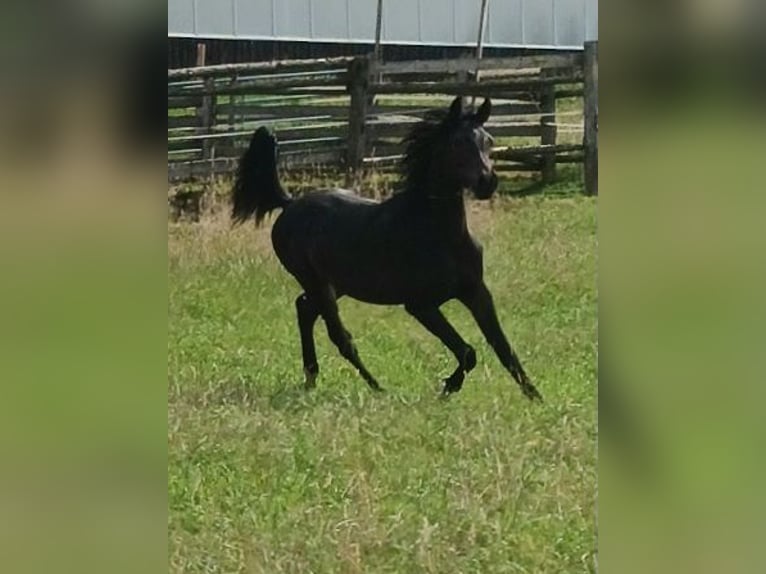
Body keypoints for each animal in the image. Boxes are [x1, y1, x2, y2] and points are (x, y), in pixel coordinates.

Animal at [232, 96, 542, 401]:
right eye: (456, 143)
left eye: (489, 140)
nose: (488, 182)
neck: (440, 234)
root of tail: (289, 203)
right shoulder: (420, 305)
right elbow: (468, 353)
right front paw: (448, 387)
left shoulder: (476, 292)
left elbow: (504, 350)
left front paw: (536, 398)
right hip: (314, 280)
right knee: (339, 336)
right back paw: (376, 387)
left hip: (336, 284)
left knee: (304, 309)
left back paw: (312, 377)